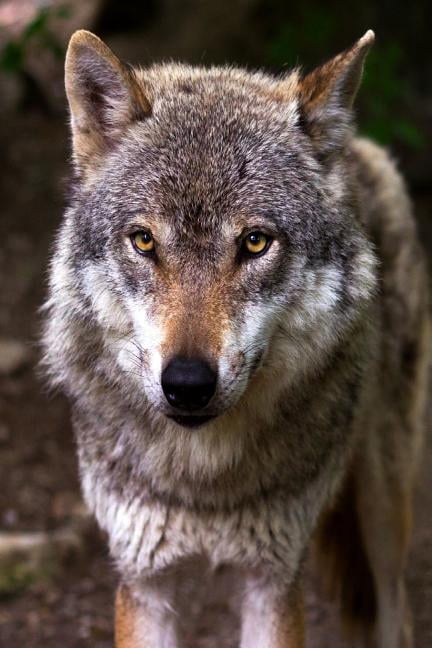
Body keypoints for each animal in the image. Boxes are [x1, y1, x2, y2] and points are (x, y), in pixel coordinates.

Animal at [42, 28, 430, 647]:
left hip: (383, 513)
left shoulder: (272, 580)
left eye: (254, 242)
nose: (187, 384)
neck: (203, 481)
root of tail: (361, 148)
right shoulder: (144, 581)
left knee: (397, 614)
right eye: (144, 241)